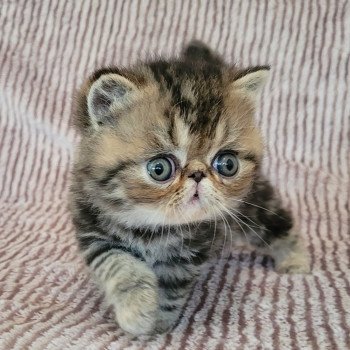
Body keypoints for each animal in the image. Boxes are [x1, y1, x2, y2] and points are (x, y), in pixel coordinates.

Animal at [69, 41, 308, 336]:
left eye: (227, 164)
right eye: (159, 169)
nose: (197, 174)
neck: (152, 226)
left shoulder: (190, 252)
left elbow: (171, 285)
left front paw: (158, 321)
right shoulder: (92, 231)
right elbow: (118, 263)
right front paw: (136, 309)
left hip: (253, 203)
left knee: (276, 222)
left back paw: (296, 259)